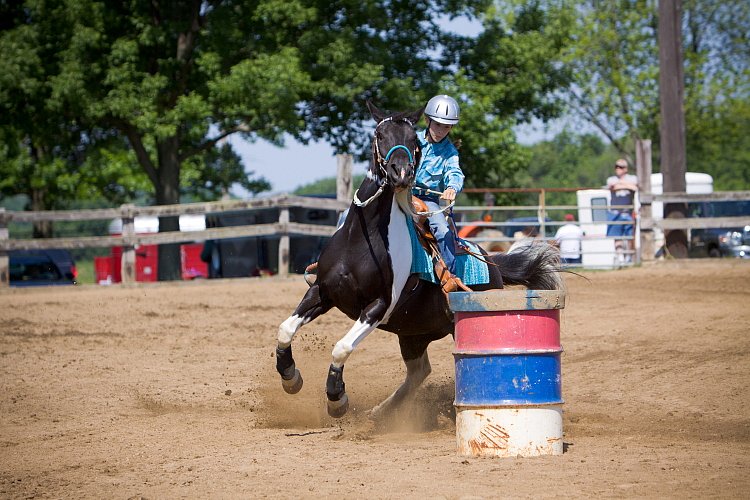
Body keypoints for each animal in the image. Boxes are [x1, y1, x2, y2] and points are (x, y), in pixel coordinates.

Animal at [274, 103, 560, 420]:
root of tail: (490, 261)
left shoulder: (378, 306)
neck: (360, 241)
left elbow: (342, 347)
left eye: (414, 140)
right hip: (412, 333)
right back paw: (379, 413)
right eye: (380, 135)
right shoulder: (323, 290)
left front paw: (337, 399)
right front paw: (290, 377)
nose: (400, 173)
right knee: (419, 372)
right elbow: (285, 329)